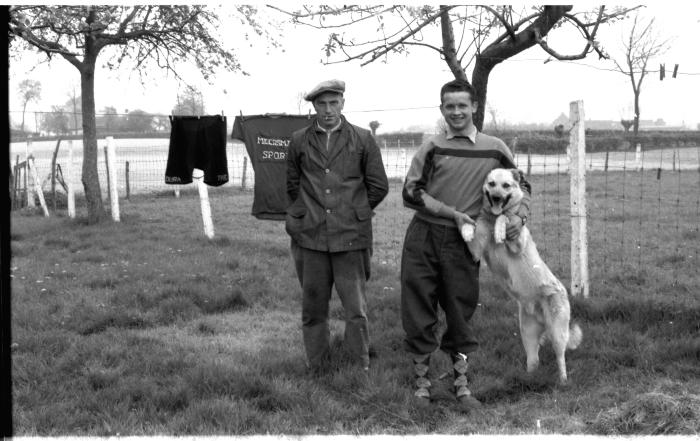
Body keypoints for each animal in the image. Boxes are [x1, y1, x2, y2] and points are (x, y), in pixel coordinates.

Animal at [462, 168, 584, 382]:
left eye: (506, 186)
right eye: (491, 184)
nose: (496, 197)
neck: (491, 218)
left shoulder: (516, 242)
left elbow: (505, 218)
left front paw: (500, 230)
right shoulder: (475, 251)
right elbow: (471, 226)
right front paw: (466, 228)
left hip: (558, 334)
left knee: (561, 358)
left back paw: (563, 381)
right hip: (527, 334)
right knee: (533, 361)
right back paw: (529, 378)